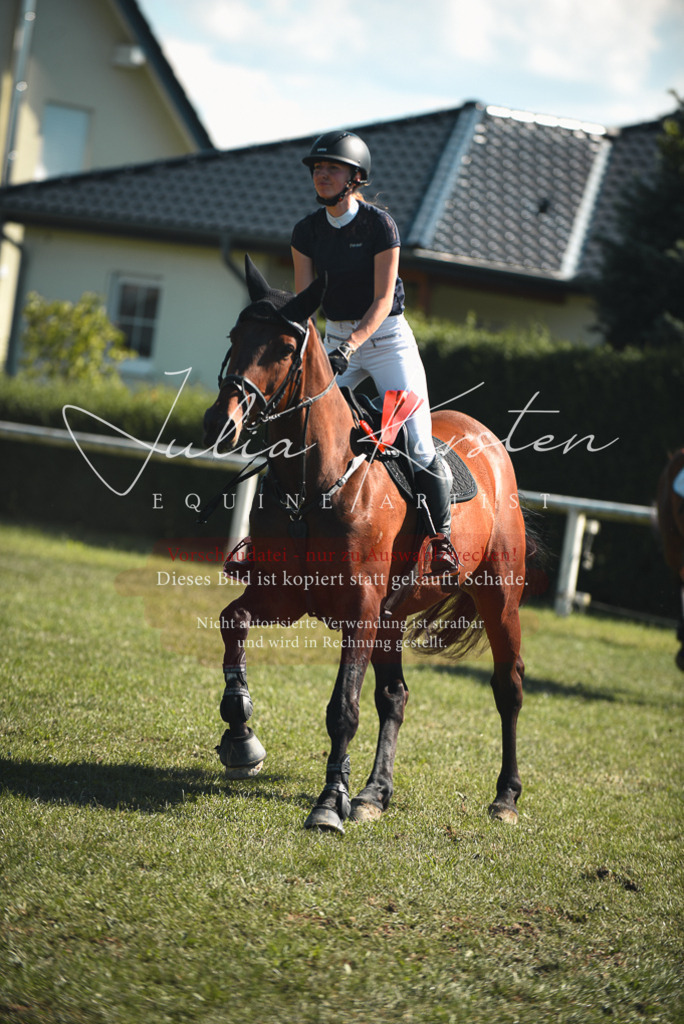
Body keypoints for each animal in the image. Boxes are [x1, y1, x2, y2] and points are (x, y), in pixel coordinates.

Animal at [202, 256, 531, 833]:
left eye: (283, 349)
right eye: (234, 337)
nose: (221, 422)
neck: (313, 485)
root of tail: (488, 440)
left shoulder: (359, 610)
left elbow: (343, 709)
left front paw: (328, 803)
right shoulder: (283, 598)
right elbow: (231, 622)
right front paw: (242, 738)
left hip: (497, 600)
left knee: (506, 688)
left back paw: (505, 797)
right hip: (392, 617)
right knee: (394, 696)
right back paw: (375, 793)